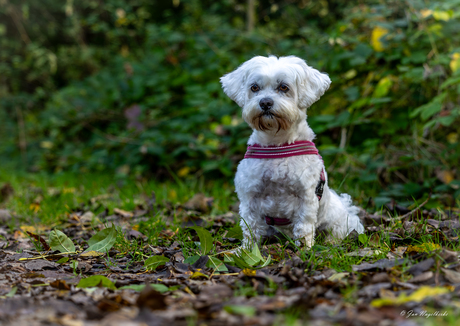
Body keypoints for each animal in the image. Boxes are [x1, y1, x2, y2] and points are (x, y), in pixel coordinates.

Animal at [221, 54, 364, 248]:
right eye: (254, 87)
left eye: (284, 87)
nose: (265, 102)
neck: (277, 145)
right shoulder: (249, 196)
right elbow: (251, 228)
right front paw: (247, 250)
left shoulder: (307, 196)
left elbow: (304, 226)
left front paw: (304, 249)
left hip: (339, 221)